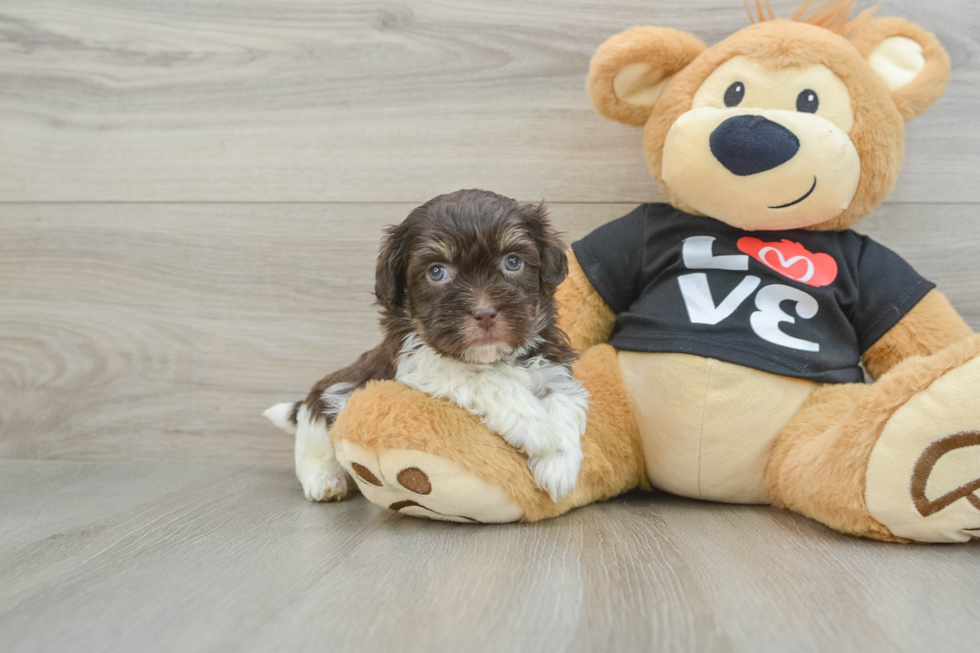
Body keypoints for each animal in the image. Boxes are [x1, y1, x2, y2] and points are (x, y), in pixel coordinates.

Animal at [264, 190, 588, 504]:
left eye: (512, 262)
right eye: (436, 272)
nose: (484, 313)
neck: (492, 358)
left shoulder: (551, 361)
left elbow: (565, 397)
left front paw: (560, 462)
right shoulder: (420, 366)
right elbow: (484, 379)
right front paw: (539, 429)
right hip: (324, 407)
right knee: (313, 452)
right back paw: (325, 482)